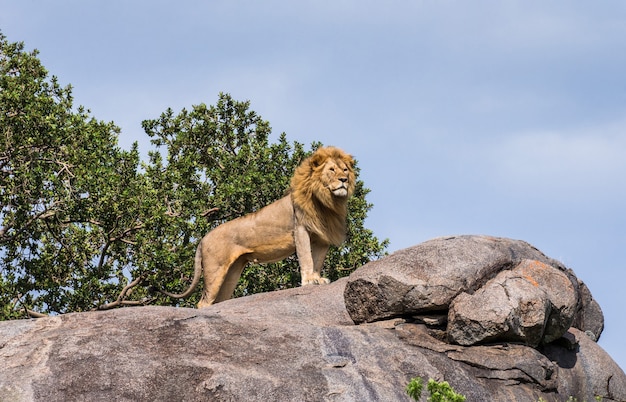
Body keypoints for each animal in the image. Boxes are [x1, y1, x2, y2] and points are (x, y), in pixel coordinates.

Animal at [163, 148, 354, 308]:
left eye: (345, 170)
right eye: (331, 170)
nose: (344, 180)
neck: (327, 201)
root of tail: (203, 239)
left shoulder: (322, 238)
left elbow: (317, 261)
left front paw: (318, 279)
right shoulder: (300, 228)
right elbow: (306, 257)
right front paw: (309, 281)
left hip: (232, 272)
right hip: (214, 269)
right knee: (203, 302)